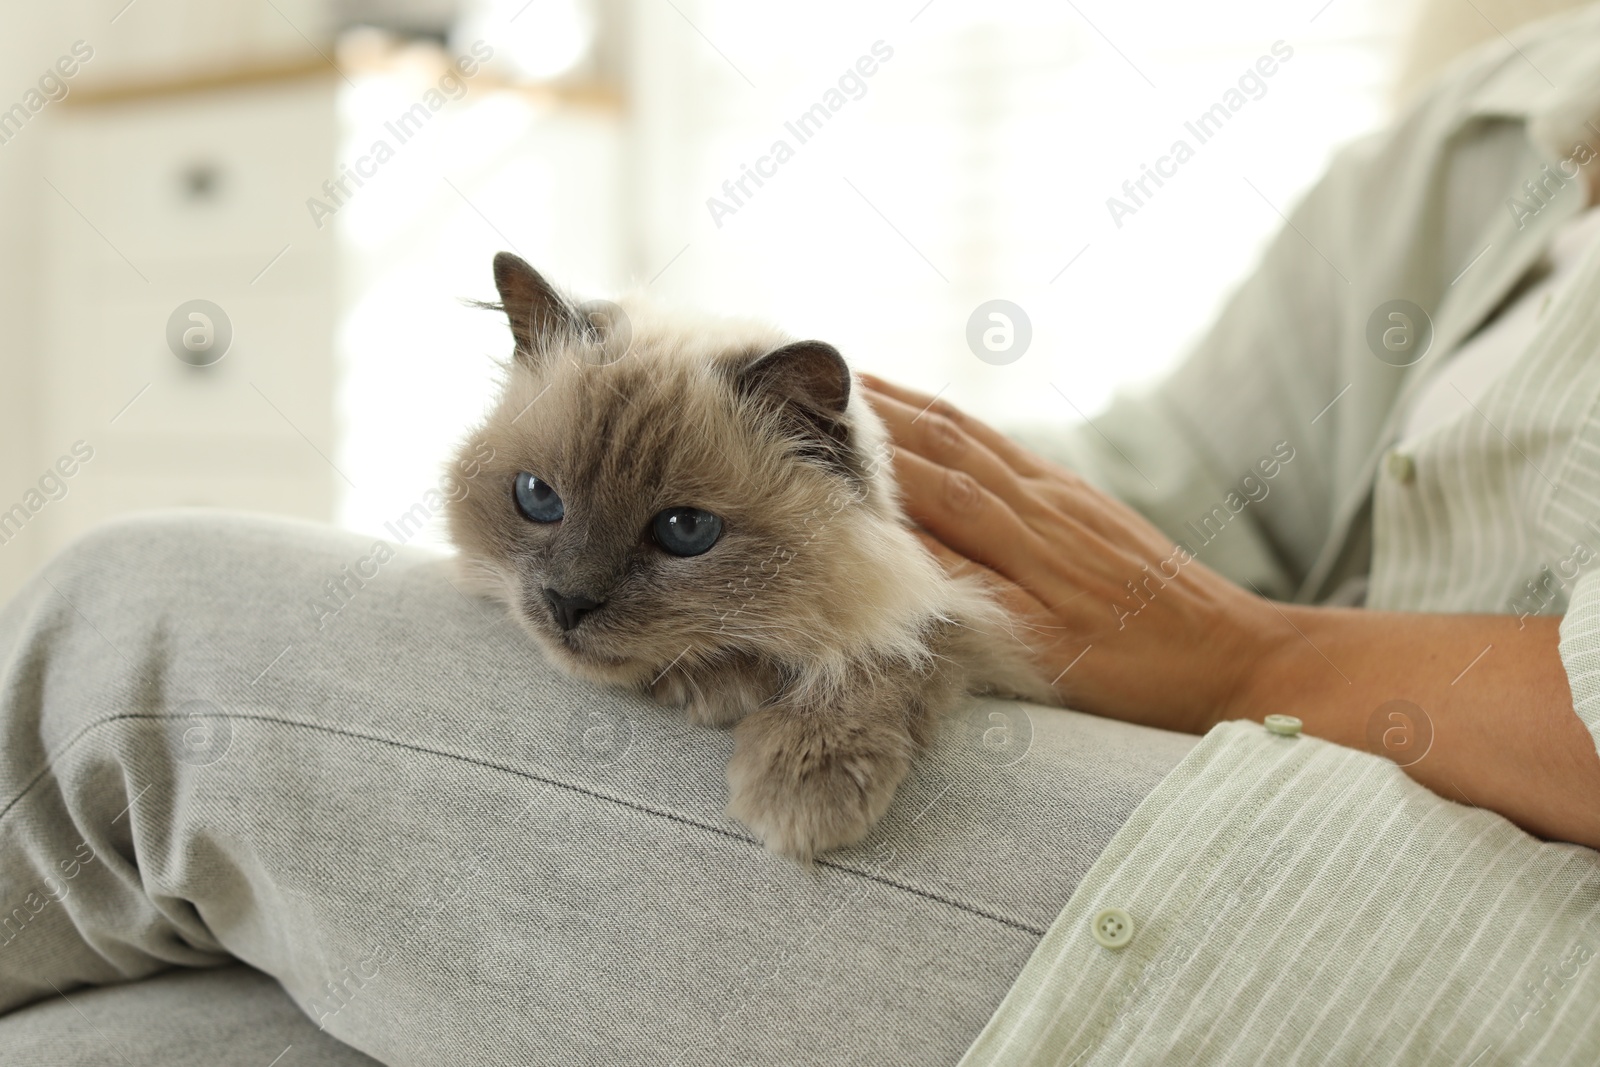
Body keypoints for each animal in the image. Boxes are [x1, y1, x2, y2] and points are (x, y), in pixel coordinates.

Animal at [444, 254, 1056, 863]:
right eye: (537, 497)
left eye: (685, 530)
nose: (566, 603)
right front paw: (718, 686)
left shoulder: (968, 611)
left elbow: (885, 654)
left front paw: (803, 783)